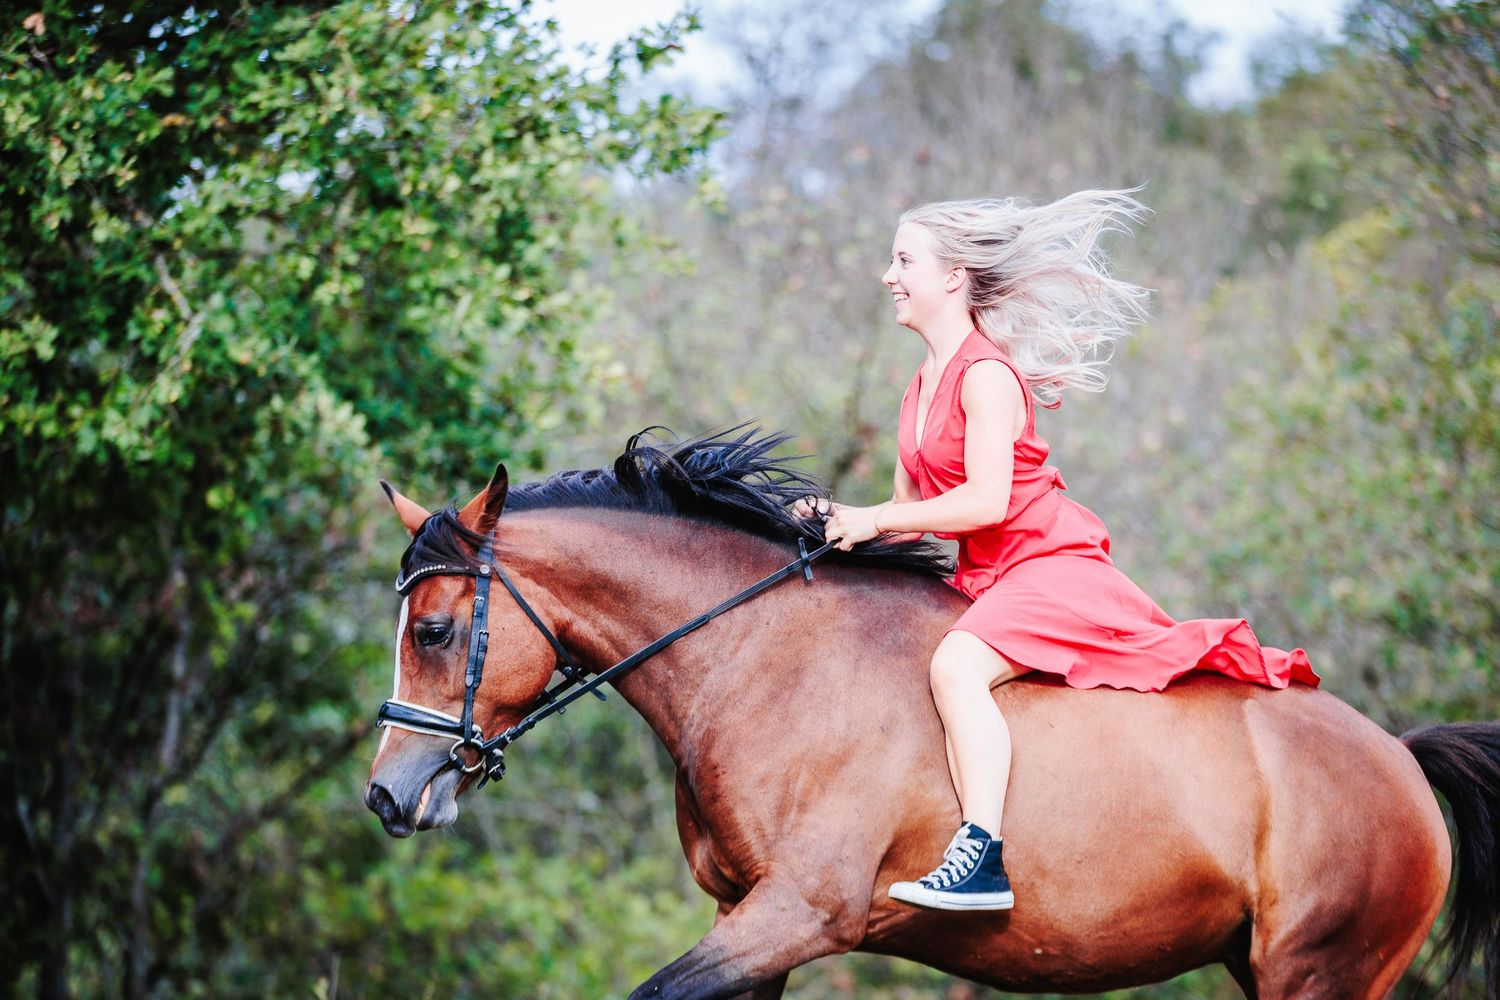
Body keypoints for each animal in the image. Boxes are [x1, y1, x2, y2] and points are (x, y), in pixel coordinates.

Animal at [364, 428, 1500, 1000]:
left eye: (435, 629)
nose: (387, 796)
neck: (762, 657)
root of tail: (1400, 759)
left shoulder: (800, 913)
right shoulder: (747, 922)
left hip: (1321, 971)